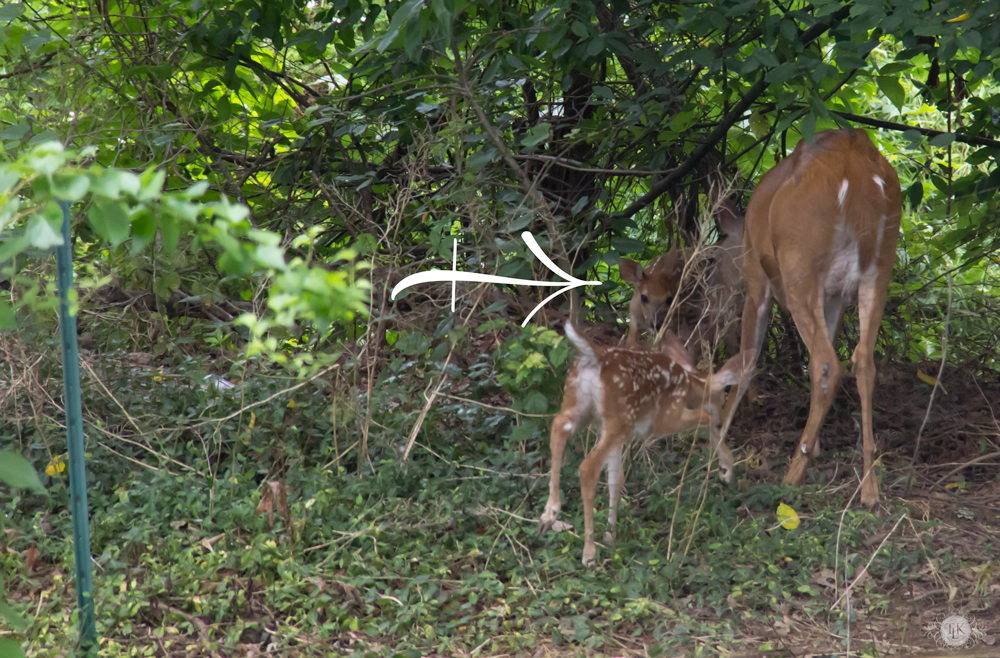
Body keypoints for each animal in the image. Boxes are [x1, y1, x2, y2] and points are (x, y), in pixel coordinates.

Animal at [536, 320, 752, 560]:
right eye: (723, 397)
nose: (723, 417)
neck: (690, 385)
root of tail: (594, 357)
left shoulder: (614, 435)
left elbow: (615, 479)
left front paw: (610, 537)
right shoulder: (666, 418)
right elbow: (705, 417)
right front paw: (726, 469)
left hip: (582, 408)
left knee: (558, 427)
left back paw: (548, 515)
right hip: (621, 417)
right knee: (587, 467)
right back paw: (588, 552)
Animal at [716, 128, 904, 502]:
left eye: (715, 254)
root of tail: (854, 163)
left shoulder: (757, 284)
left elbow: (745, 362)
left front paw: (719, 448)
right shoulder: (835, 297)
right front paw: (816, 447)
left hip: (798, 264)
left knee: (826, 362)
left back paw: (791, 476)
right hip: (879, 269)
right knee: (863, 360)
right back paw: (869, 488)